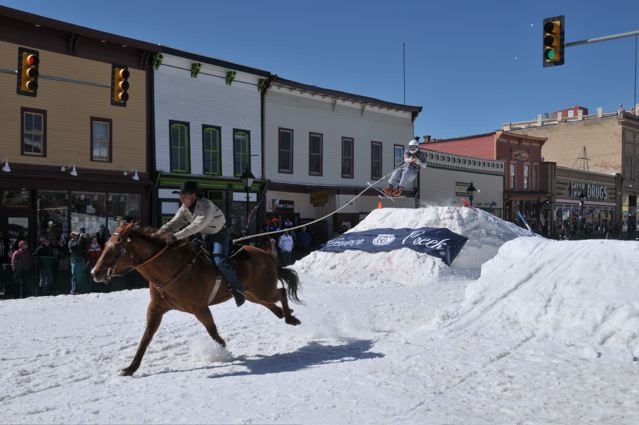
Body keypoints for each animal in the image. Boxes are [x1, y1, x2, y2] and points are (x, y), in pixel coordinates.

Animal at [90, 222, 302, 374]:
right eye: (105, 245)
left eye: (117, 248)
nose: (95, 272)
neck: (171, 268)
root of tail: (266, 255)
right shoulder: (156, 308)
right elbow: (147, 336)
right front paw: (131, 367)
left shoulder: (200, 309)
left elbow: (213, 332)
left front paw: (224, 352)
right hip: (252, 294)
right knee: (272, 303)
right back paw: (286, 314)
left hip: (261, 290)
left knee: (281, 292)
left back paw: (290, 317)